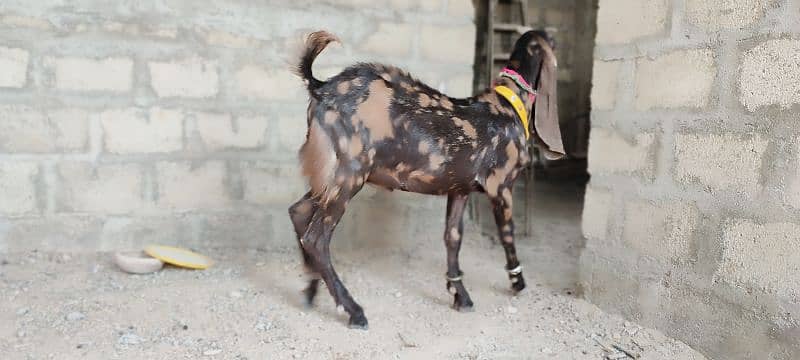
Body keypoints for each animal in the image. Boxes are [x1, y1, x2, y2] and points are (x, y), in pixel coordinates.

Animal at [288, 30, 564, 330]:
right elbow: (507, 234)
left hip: (330, 175)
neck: (508, 106)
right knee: (316, 237)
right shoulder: (500, 185)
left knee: (299, 213)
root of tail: (320, 88)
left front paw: (460, 295)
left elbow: (453, 237)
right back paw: (353, 310)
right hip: (350, 172)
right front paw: (517, 281)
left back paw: (311, 290)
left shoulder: (460, 189)